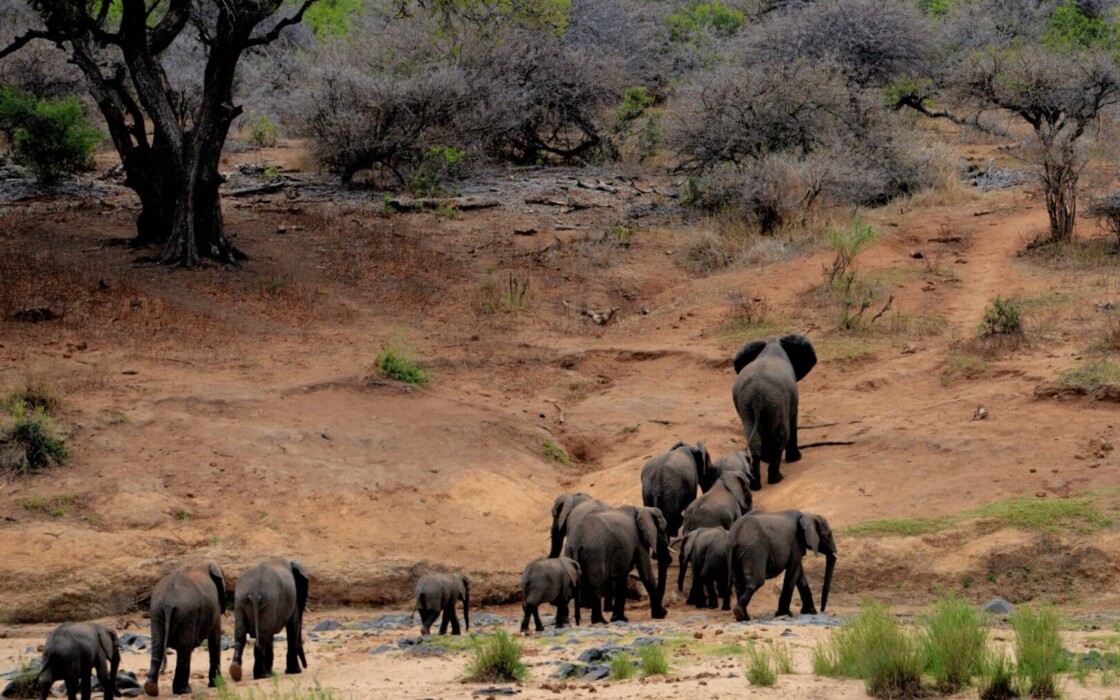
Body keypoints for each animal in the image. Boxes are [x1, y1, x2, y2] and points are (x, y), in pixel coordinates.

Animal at [144, 562, 227, 697]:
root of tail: (168, 603)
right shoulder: (216, 606)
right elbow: (215, 639)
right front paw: (217, 684)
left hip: (156, 612)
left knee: (158, 645)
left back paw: (151, 688)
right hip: (187, 613)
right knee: (184, 648)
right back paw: (184, 690)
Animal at [731, 334, 817, 489]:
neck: (772, 343)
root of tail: (757, 396)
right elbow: (793, 421)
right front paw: (796, 459)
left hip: (746, 403)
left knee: (754, 438)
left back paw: (755, 485)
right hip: (776, 400)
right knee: (781, 435)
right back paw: (777, 479)